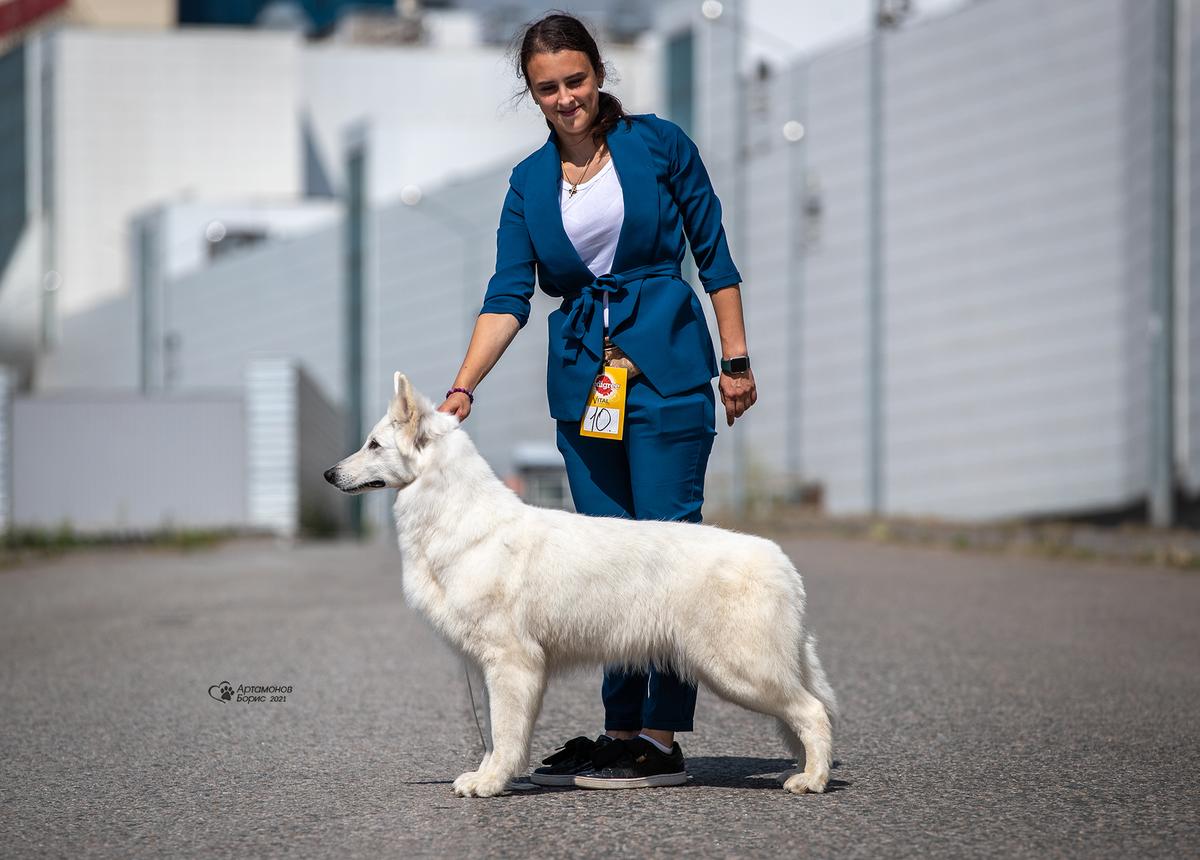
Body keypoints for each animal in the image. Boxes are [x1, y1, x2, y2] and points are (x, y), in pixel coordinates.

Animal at [324, 371, 840, 796]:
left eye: (373, 445)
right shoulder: (494, 666)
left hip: (739, 671)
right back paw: (808, 769)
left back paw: (812, 779)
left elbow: (505, 734)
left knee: (813, 711)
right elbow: (494, 736)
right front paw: (487, 775)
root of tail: (782, 562)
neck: (460, 518)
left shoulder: (513, 662)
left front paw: (491, 783)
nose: (329, 473)